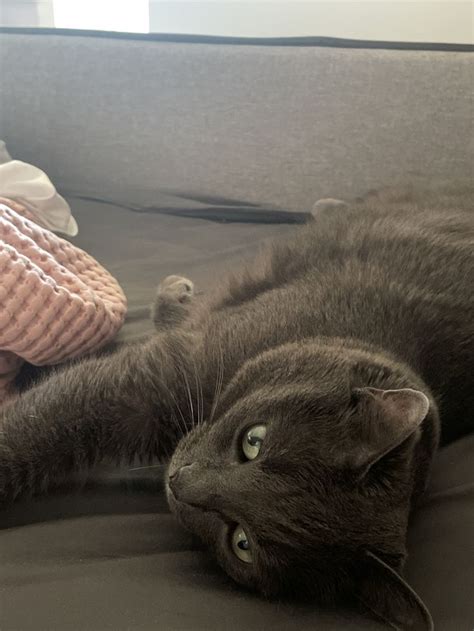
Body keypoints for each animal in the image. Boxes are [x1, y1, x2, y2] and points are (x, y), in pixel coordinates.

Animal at [0, 183, 474, 628]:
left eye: (242, 543)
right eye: (254, 440)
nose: (180, 482)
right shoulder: (162, 372)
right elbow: (42, 424)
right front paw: (176, 294)